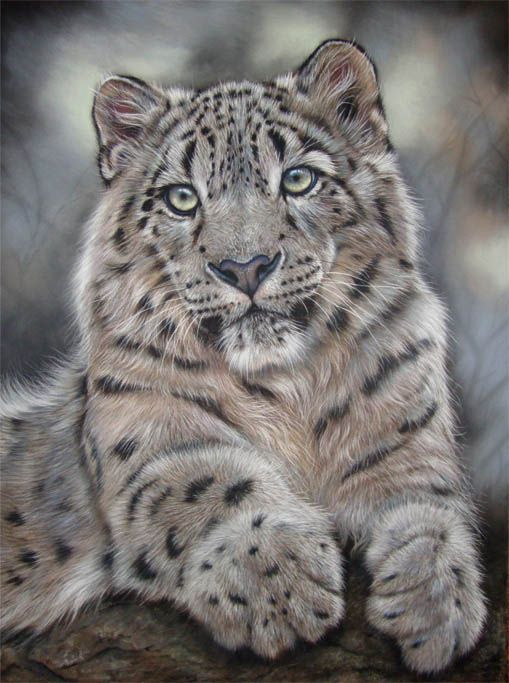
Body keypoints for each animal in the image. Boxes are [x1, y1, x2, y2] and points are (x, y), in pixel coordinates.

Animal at [0, 39, 486, 674]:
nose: (246, 267)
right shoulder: (152, 438)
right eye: (182, 198)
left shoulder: (411, 447)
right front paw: (278, 588)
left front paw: (436, 606)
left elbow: (429, 511)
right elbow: (210, 479)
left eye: (299, 179)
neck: (289, 385)